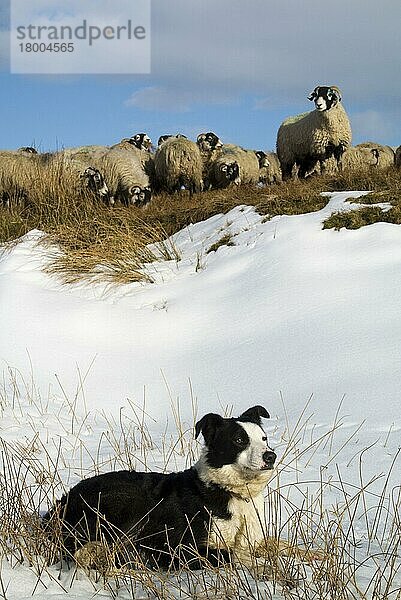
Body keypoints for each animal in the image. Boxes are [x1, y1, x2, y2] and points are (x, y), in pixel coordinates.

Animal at [43, 406, 320, 576]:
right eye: (239, 440)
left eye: (264, 438)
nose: (271, 456)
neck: (230, 491)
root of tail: (61, 504)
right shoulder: (182, 546)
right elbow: (234, 555)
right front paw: (269, 569)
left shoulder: (254, 539)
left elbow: (280, 545)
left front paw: (319, 555)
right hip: (124, 504)